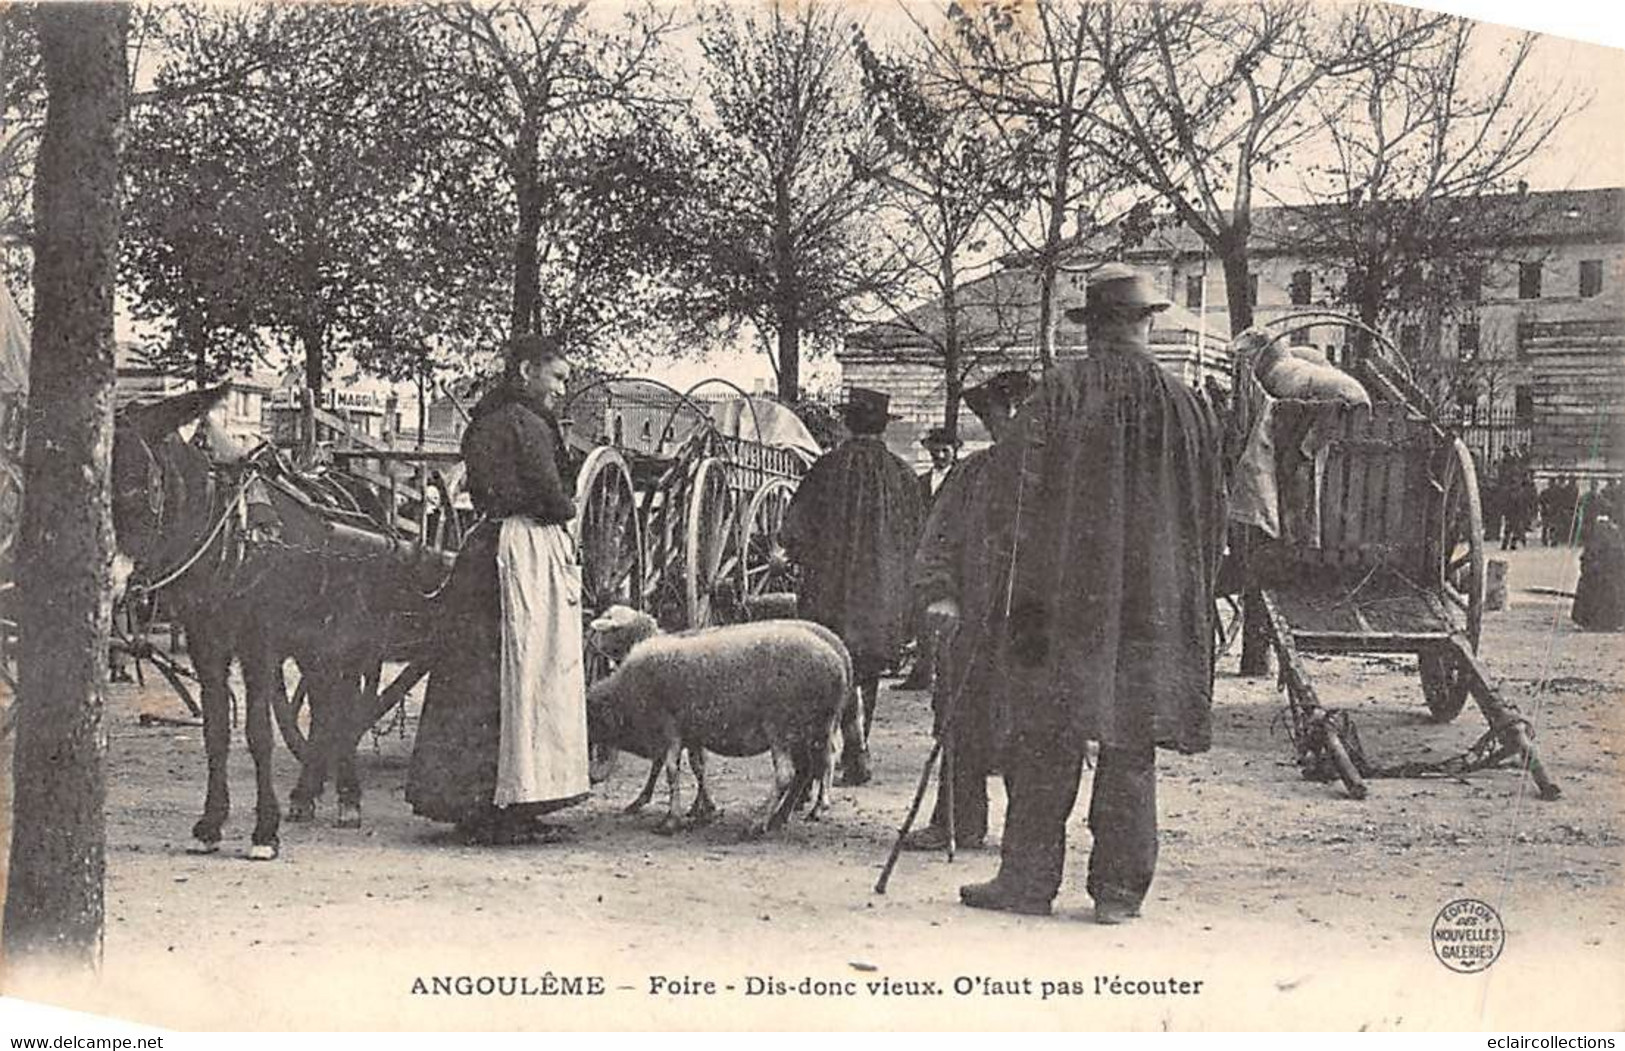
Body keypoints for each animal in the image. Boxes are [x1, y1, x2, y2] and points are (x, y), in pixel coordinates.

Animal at [112, 389, 445, 857]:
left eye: (138, 484)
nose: (113, 582)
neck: (229, 534)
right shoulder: (205, 643)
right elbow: (216, 731)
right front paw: (211, 823)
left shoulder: (260, 642)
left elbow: (259, 732)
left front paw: (264, 832)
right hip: (313, 641)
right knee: (324, 705)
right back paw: (307, 793)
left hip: (355, 636)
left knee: (345, 706)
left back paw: (347, 796)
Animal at [588, 607, 864, 838]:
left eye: (609, 626)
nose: (591, 641)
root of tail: (839, 661)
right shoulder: (691, 734)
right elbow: (697, 766)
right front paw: (702, 810)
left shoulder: (669, 727)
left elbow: (670, 770)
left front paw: (671, 819)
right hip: (811, 728)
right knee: (808, 769)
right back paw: (781, 817)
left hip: (782, 725)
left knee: (790, 773)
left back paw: (761, 823)